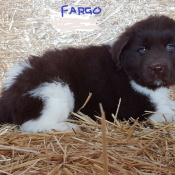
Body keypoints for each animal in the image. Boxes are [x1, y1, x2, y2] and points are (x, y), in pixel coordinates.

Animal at [0, 15, 175, 133]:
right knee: (32, 125)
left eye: (170, 47)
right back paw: (67, 127)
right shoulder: (130, 109)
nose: (158, 68)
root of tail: (9, 92)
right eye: (142, 49)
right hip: (54, 90)